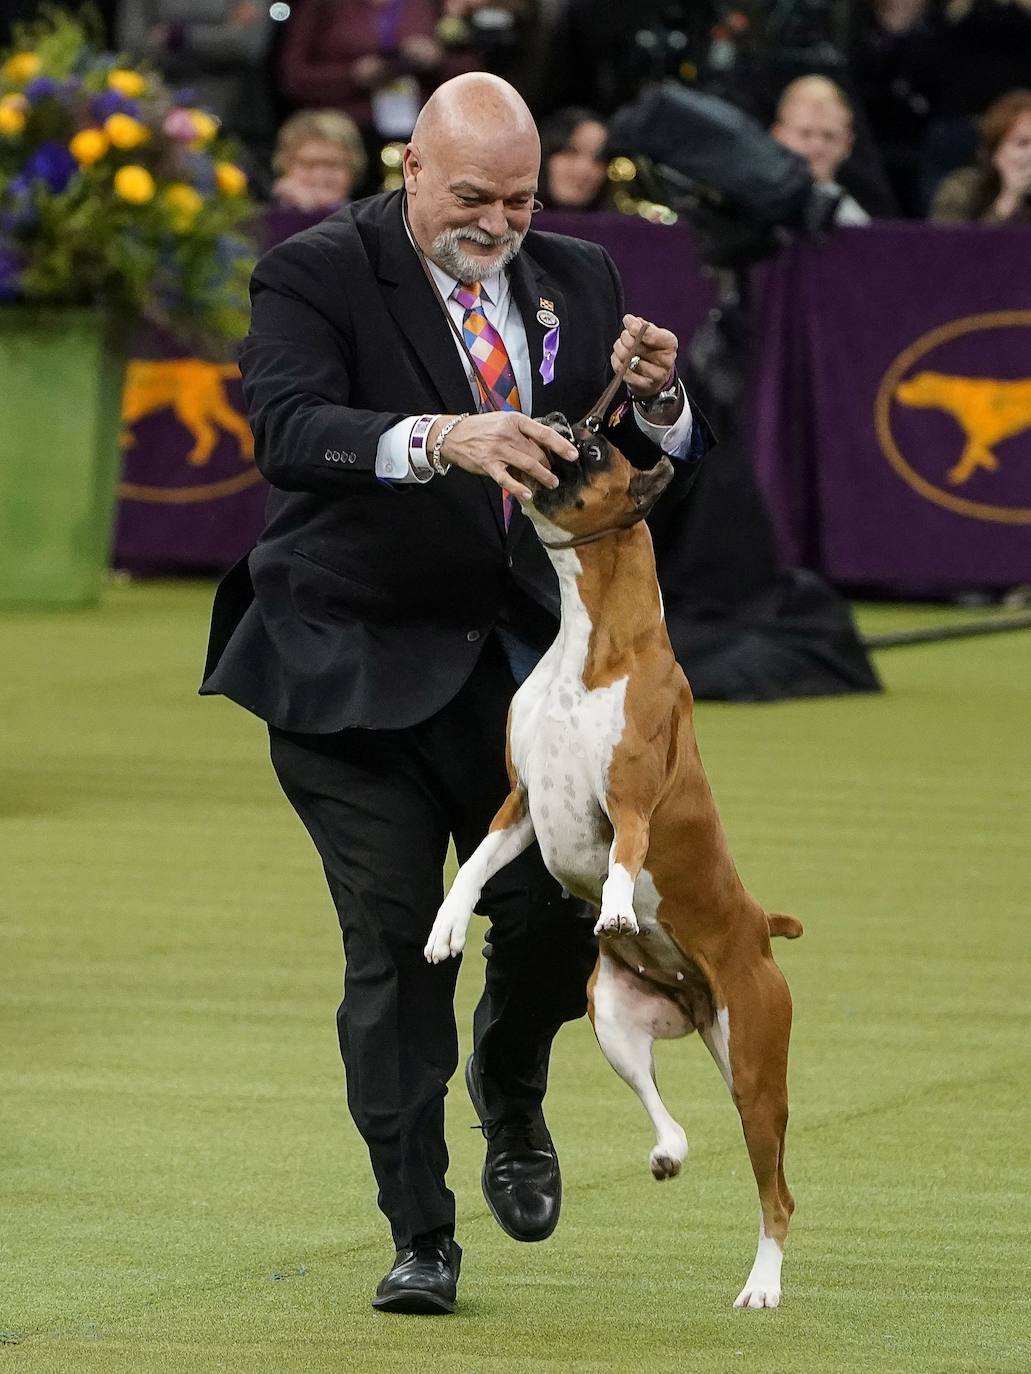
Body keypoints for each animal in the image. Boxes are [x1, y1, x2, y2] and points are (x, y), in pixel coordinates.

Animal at [423, 414, 802, 1308]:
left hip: (755, 1073)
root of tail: (757, 931)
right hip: (614, 1021)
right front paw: (447, 924)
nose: (559, 423)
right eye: (573, 428)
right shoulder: (520, 804)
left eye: (593, 449)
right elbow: (475, 863)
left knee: (776, 1193)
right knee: (666, 1110)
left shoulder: (628, 800)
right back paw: (666, 1150)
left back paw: (761, 1286)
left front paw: (620, 907)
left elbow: (627, 856)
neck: (590, 643)